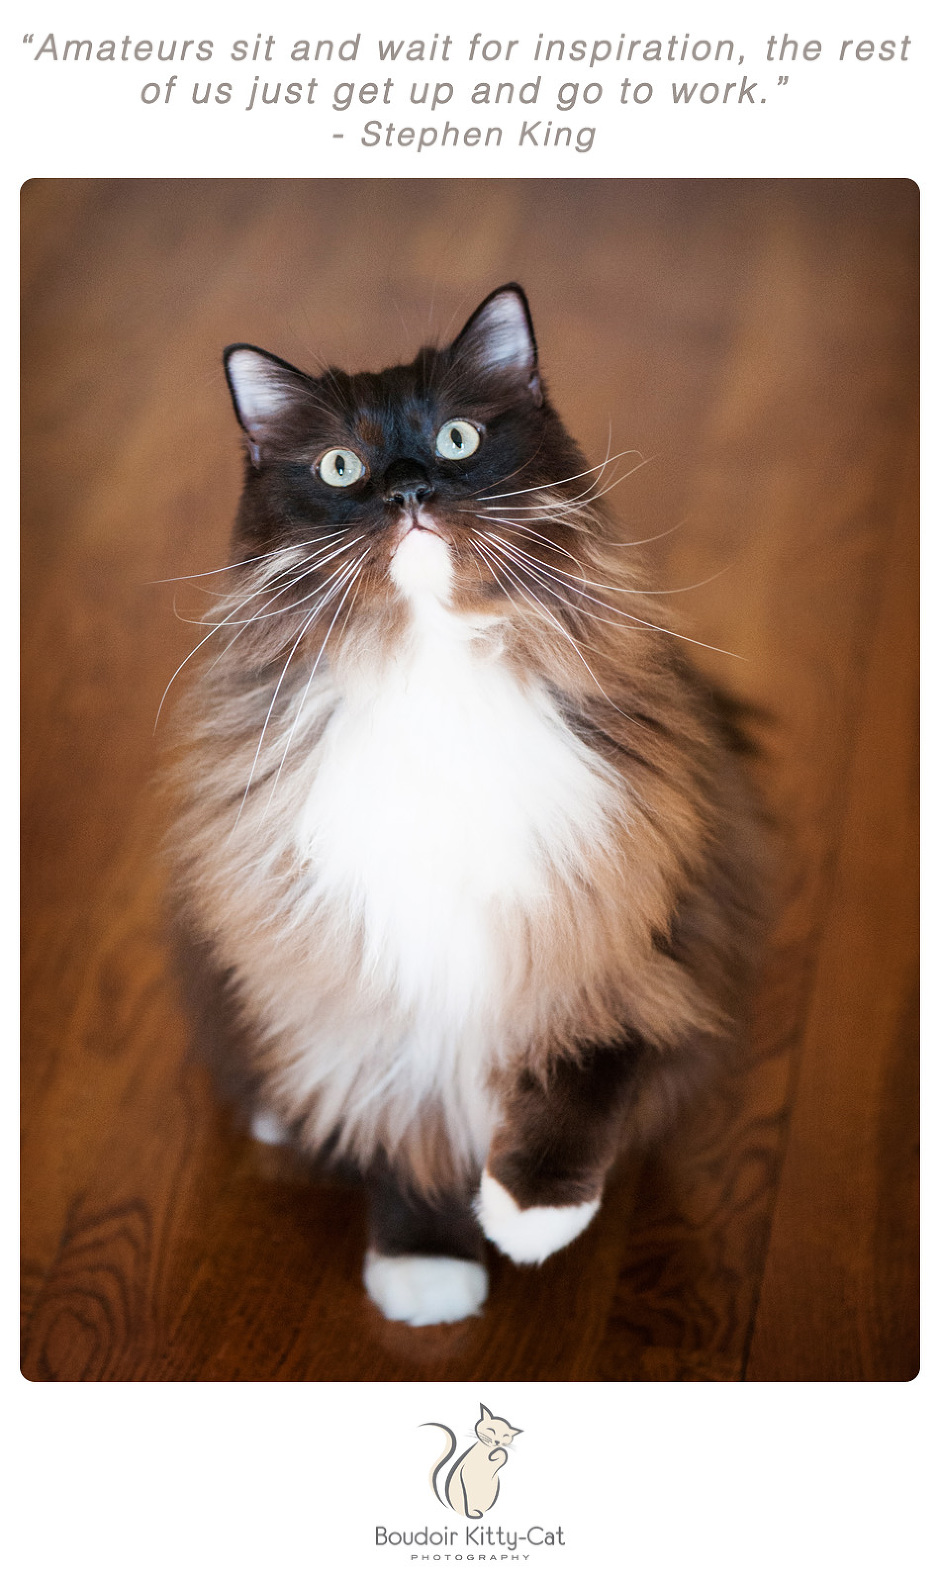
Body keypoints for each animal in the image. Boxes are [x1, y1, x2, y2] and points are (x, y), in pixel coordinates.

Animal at [169, 290, 767, 1327]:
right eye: (340, 467)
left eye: (456, 440)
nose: (410, 491)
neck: (431, 669)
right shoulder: (363, 958)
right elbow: (400, 1117)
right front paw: (426, 1261)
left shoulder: (634, 913)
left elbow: (596, 1058)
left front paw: (530, 1214)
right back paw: (282, 1110)